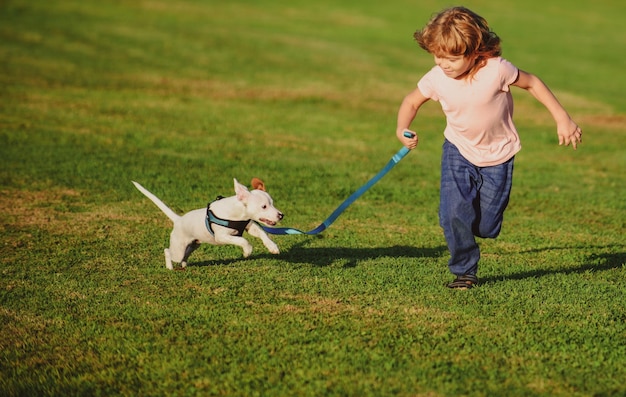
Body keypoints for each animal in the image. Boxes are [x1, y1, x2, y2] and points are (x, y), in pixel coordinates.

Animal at [132, 179, 282, 270]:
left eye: (273, 203)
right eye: (264, 206)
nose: (281, 215)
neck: (237, 213)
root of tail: (178, 220)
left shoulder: (250, 226)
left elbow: (263, 234)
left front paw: (272, 247)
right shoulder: (221, 237)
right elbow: (243, 240)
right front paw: (247, 251)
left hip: (194, 244)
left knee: (186, 254)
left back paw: (184, 264)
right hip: (178, 248)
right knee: (167, 251)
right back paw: (170, 267)